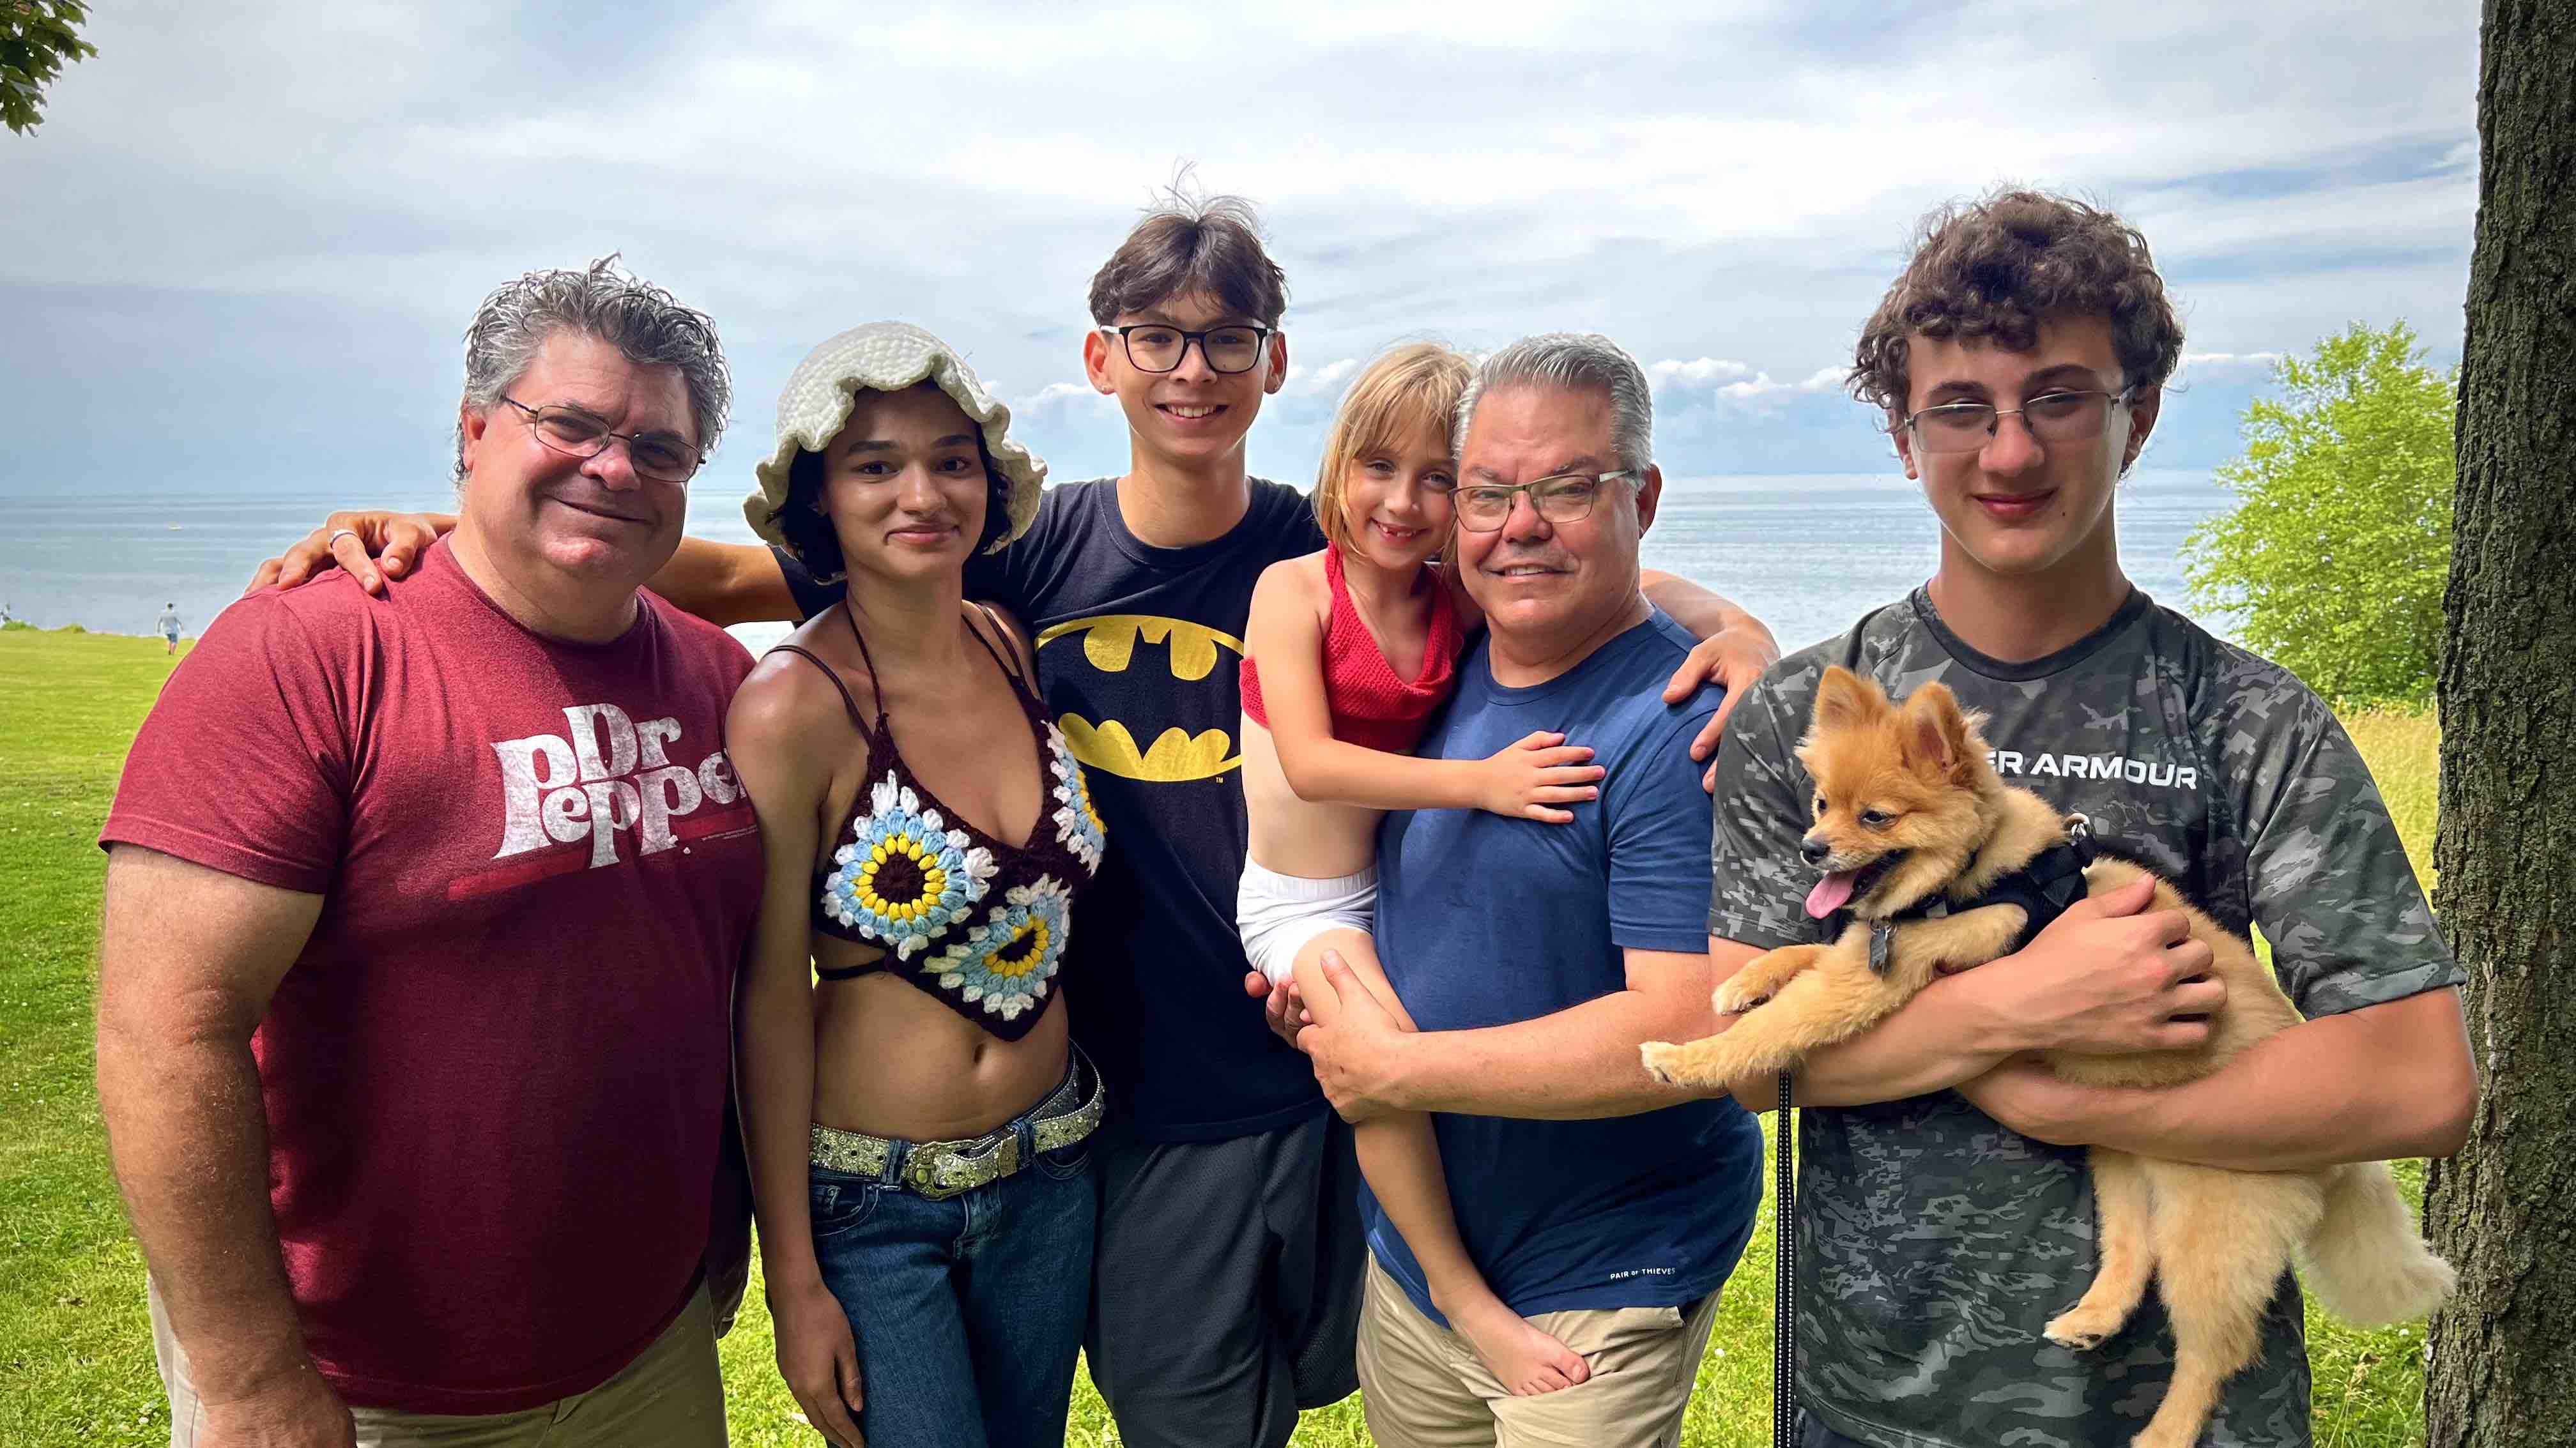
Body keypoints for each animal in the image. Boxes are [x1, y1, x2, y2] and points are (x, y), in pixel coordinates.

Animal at [1639, 666, 2453, 1448]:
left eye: (1875, 816)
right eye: (1819, 804)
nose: (1811, 848)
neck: (1972, 872)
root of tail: (2339, 1162)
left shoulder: (1887, 972)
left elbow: (1787, 1020)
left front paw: (1688, 1056)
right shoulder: (1866, 944)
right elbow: (1805, 955)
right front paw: (1747, 979)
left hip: (2212, 1231)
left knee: (2216, 1348)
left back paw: (2163, 1431)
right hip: (2121, 1165)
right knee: (2133, 1254)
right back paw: (2092, 1317)